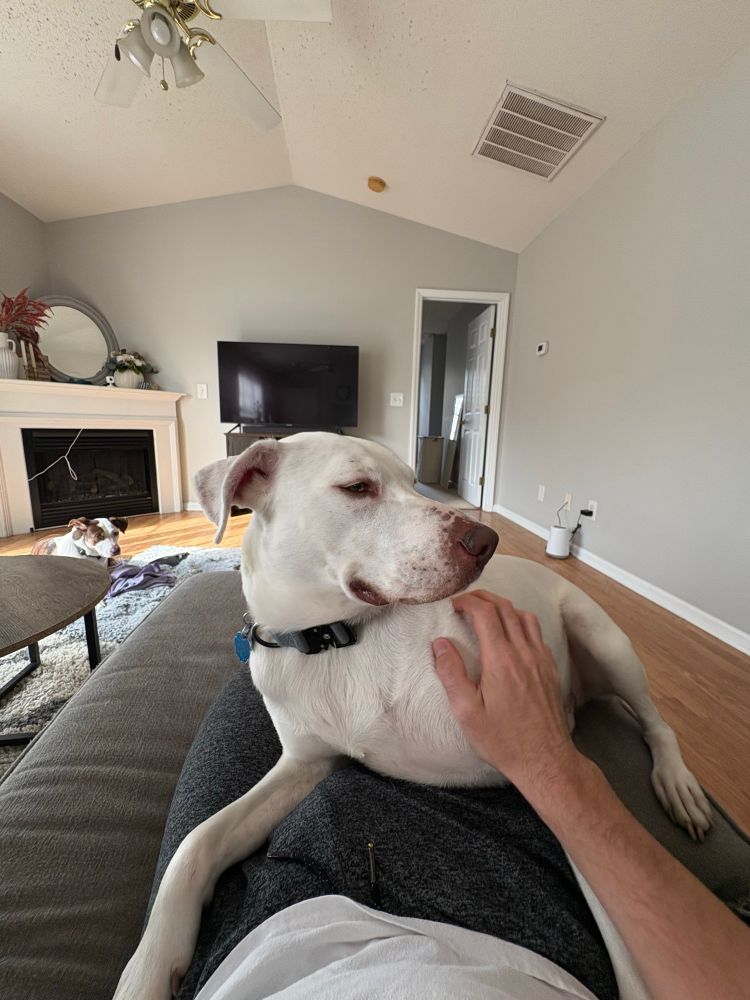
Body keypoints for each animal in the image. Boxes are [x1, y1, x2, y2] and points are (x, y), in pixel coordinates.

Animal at [114, 432, 711, 999]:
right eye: (357, 487)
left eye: (413, 480)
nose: (487, 542)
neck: (337, 641)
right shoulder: (305, 765)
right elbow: (196, 844)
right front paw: (148, 968)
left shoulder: (546, 765)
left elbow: (625, 933)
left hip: (604, 639)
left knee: (659, 725)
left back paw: (678, 785)